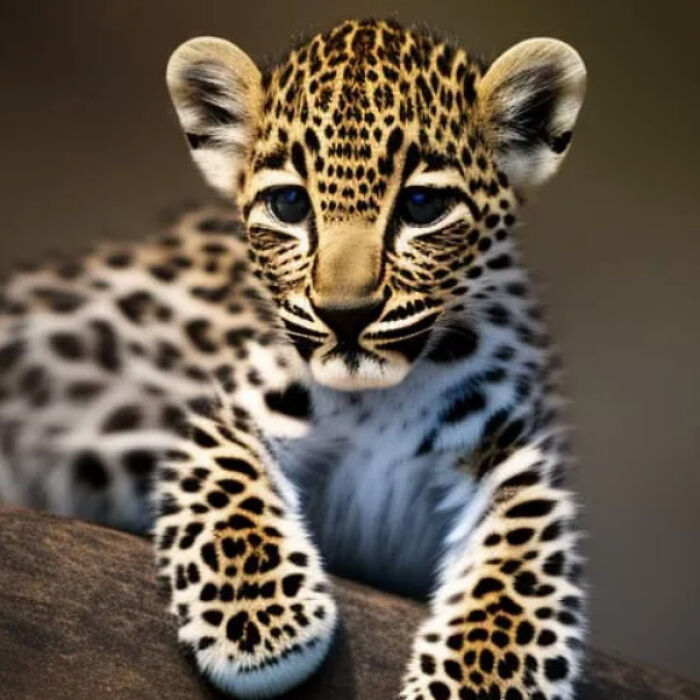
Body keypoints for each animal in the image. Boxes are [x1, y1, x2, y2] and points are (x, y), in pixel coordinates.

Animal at [0, 18, 588, 700]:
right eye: (289, 206)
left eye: (421, 208)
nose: (346, 315)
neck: (378, 400)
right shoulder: (226, 407)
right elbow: (224, 472)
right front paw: (257, 615)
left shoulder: (518, 447)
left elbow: (522, 543)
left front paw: (482, 676)